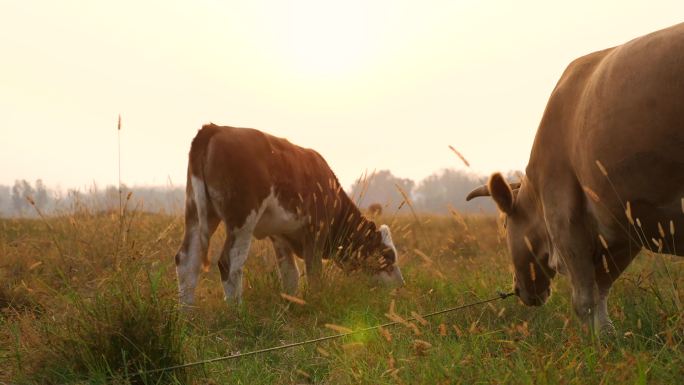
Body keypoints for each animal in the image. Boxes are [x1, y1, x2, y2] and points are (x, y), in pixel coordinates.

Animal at [174, 122, 406, 304]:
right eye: (388, 256)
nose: (400, 285)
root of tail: (215, 128)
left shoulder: (280, 236)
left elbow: (290, 276)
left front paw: (291, 305)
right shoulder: (316, 230)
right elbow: (314, 274)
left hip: (197, 212)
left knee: (187, 260)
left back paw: (187, 316)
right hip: (241, 218)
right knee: (229, 264)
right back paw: (236, 312)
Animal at [464, 22, 684, 332]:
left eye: (505, 225)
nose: (519, 288)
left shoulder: (565, 219)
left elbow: (585, 301)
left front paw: (599, 341)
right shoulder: (622, 232)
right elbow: (600, 294)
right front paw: (608, 336)